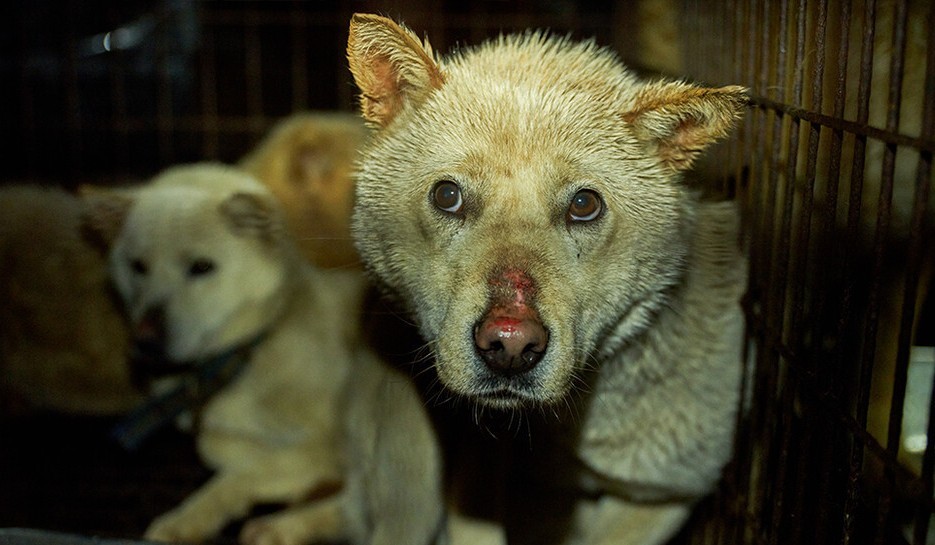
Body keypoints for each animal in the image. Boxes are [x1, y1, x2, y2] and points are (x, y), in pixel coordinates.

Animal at [89, 163, 448, 544]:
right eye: (138, 267)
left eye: (201, 267)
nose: (143, 338)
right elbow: (223, 449)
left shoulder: (324, 445)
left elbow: (241, 473)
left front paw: (187, 518)